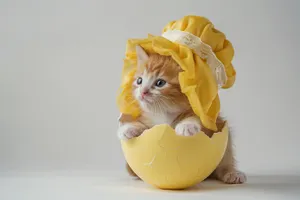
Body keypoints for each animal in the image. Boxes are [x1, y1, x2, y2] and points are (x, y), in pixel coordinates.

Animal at [117, 45, 246, 184]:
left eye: (160, 83)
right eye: (139, 81)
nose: (143, 92)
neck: (162, 113)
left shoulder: (209, 119)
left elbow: (197, 118)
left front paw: (186, 126)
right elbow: (141, 125)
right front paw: (128, 129)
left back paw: (231, 173)